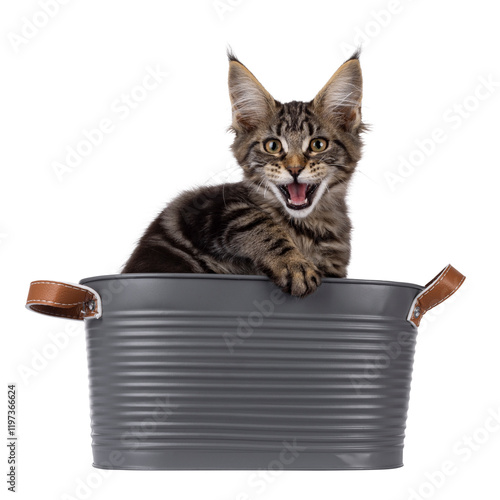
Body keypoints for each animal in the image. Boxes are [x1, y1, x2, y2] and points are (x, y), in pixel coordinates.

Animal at [121, 49, 364, 296]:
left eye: (318, 145)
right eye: (273, 146)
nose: (294, 168)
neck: (307, 227)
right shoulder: (212, 209)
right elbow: (257, 221)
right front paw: (295, 266)